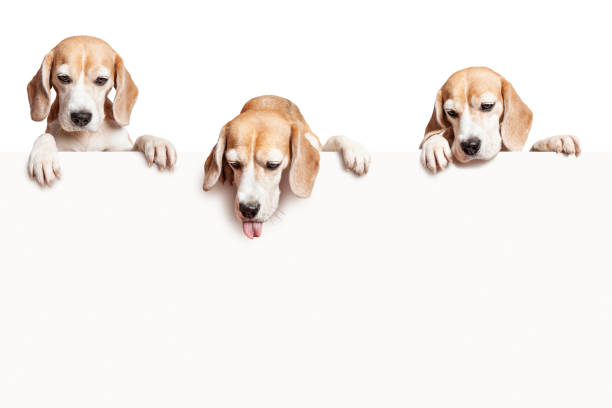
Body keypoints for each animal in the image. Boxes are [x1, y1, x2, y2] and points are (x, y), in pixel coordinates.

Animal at [27, 35, 176, 186]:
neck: (86, 136)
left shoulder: (122, 150)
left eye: (101, 80)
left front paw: (156, 143)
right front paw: (43, 155)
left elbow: (140, 139)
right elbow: (45, 136)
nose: (81, 117)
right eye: (63, 77)